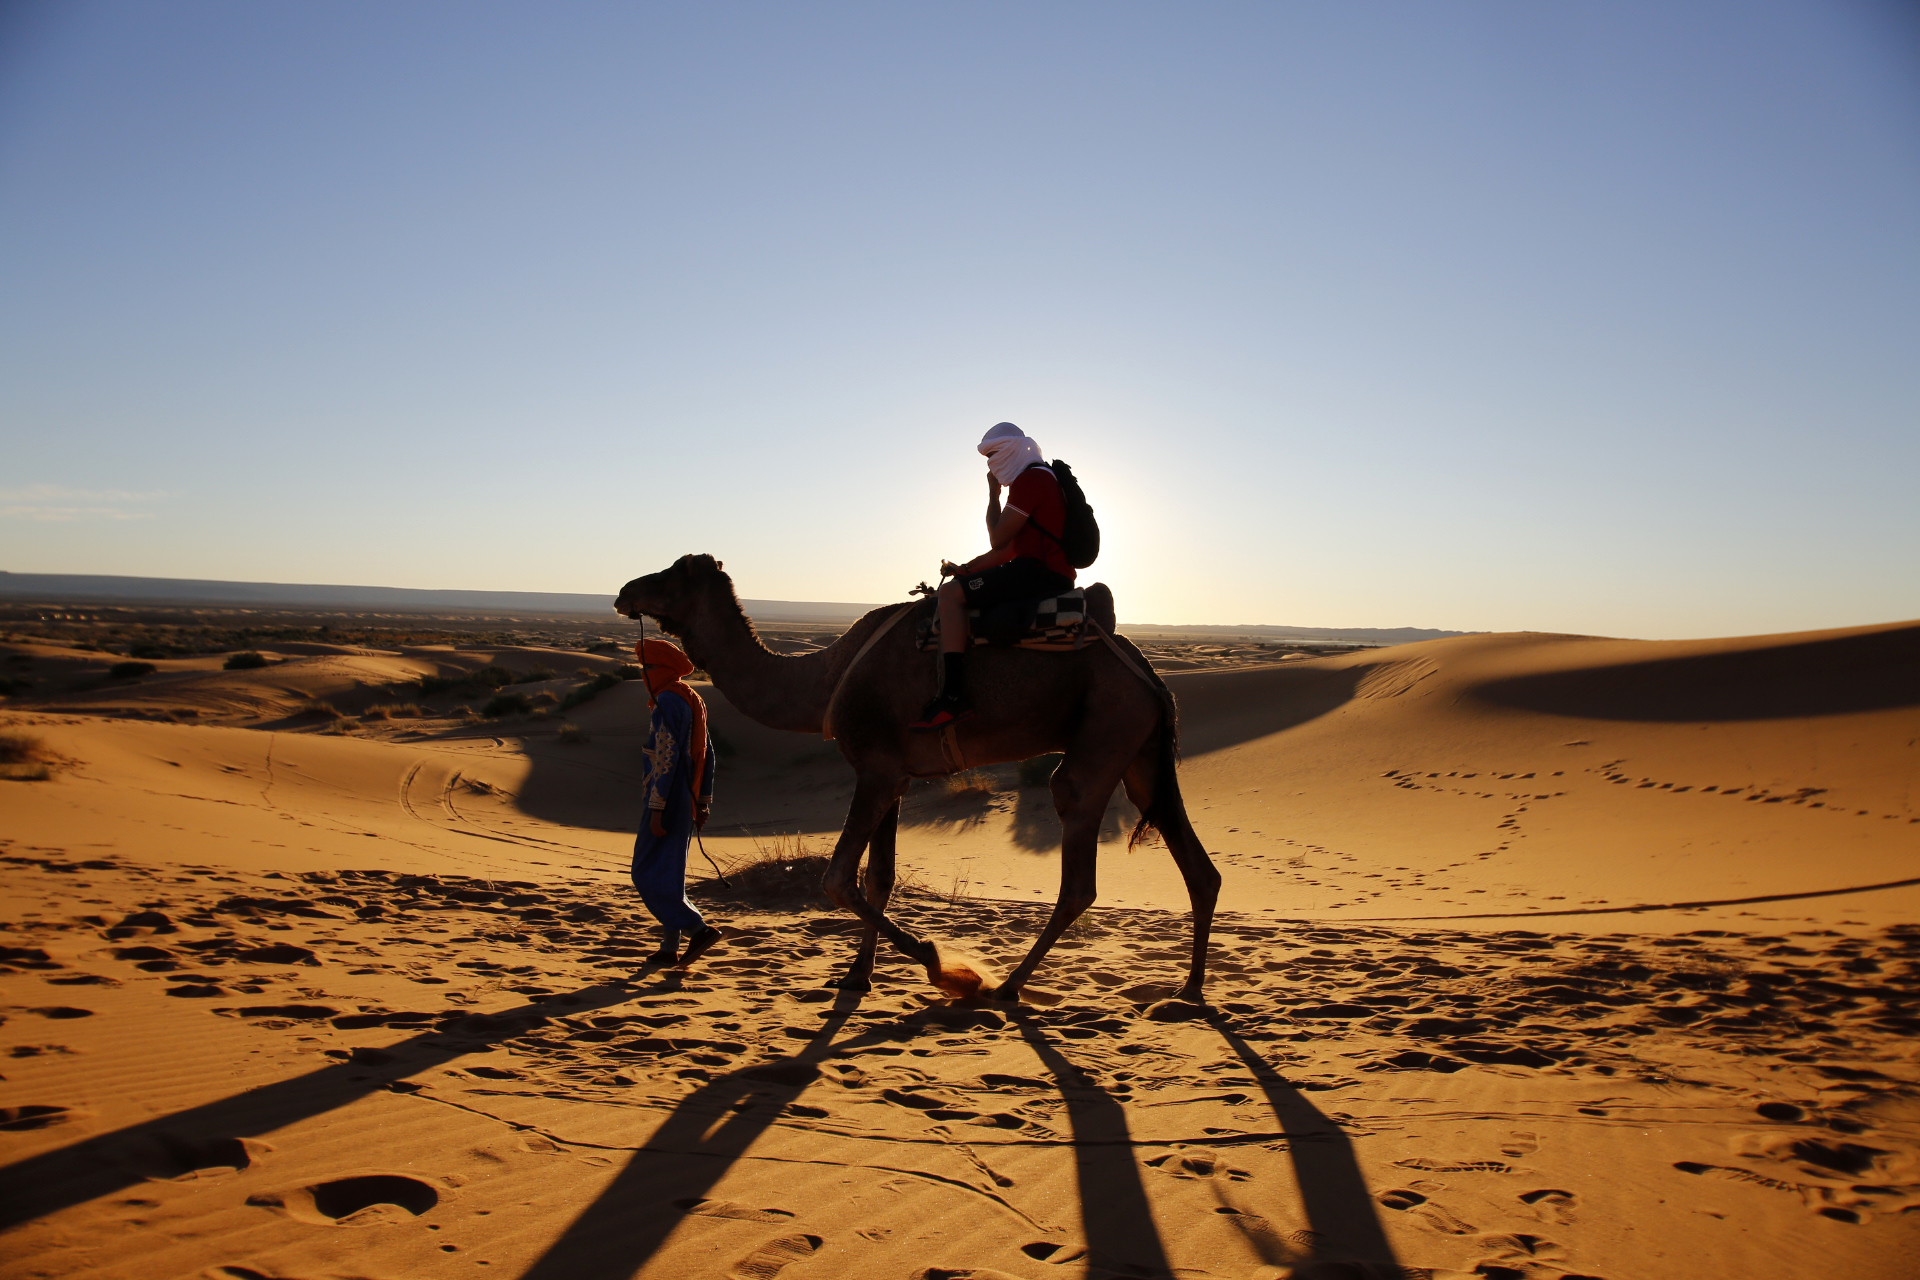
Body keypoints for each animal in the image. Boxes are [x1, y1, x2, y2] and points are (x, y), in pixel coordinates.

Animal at [610, 556, 1213, 1005]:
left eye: (671, 574)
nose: (623, 591)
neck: (826, 677)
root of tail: (1153, 677)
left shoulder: (875, 770)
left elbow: (837, 879)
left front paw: (938, 962)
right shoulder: (893, 775)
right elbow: (879, 877)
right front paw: (858, 976)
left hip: (1107, 728)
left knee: (1078, 861)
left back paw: (1005, 987)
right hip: (1139, 752)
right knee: (1195, 864)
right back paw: (1188, 991)